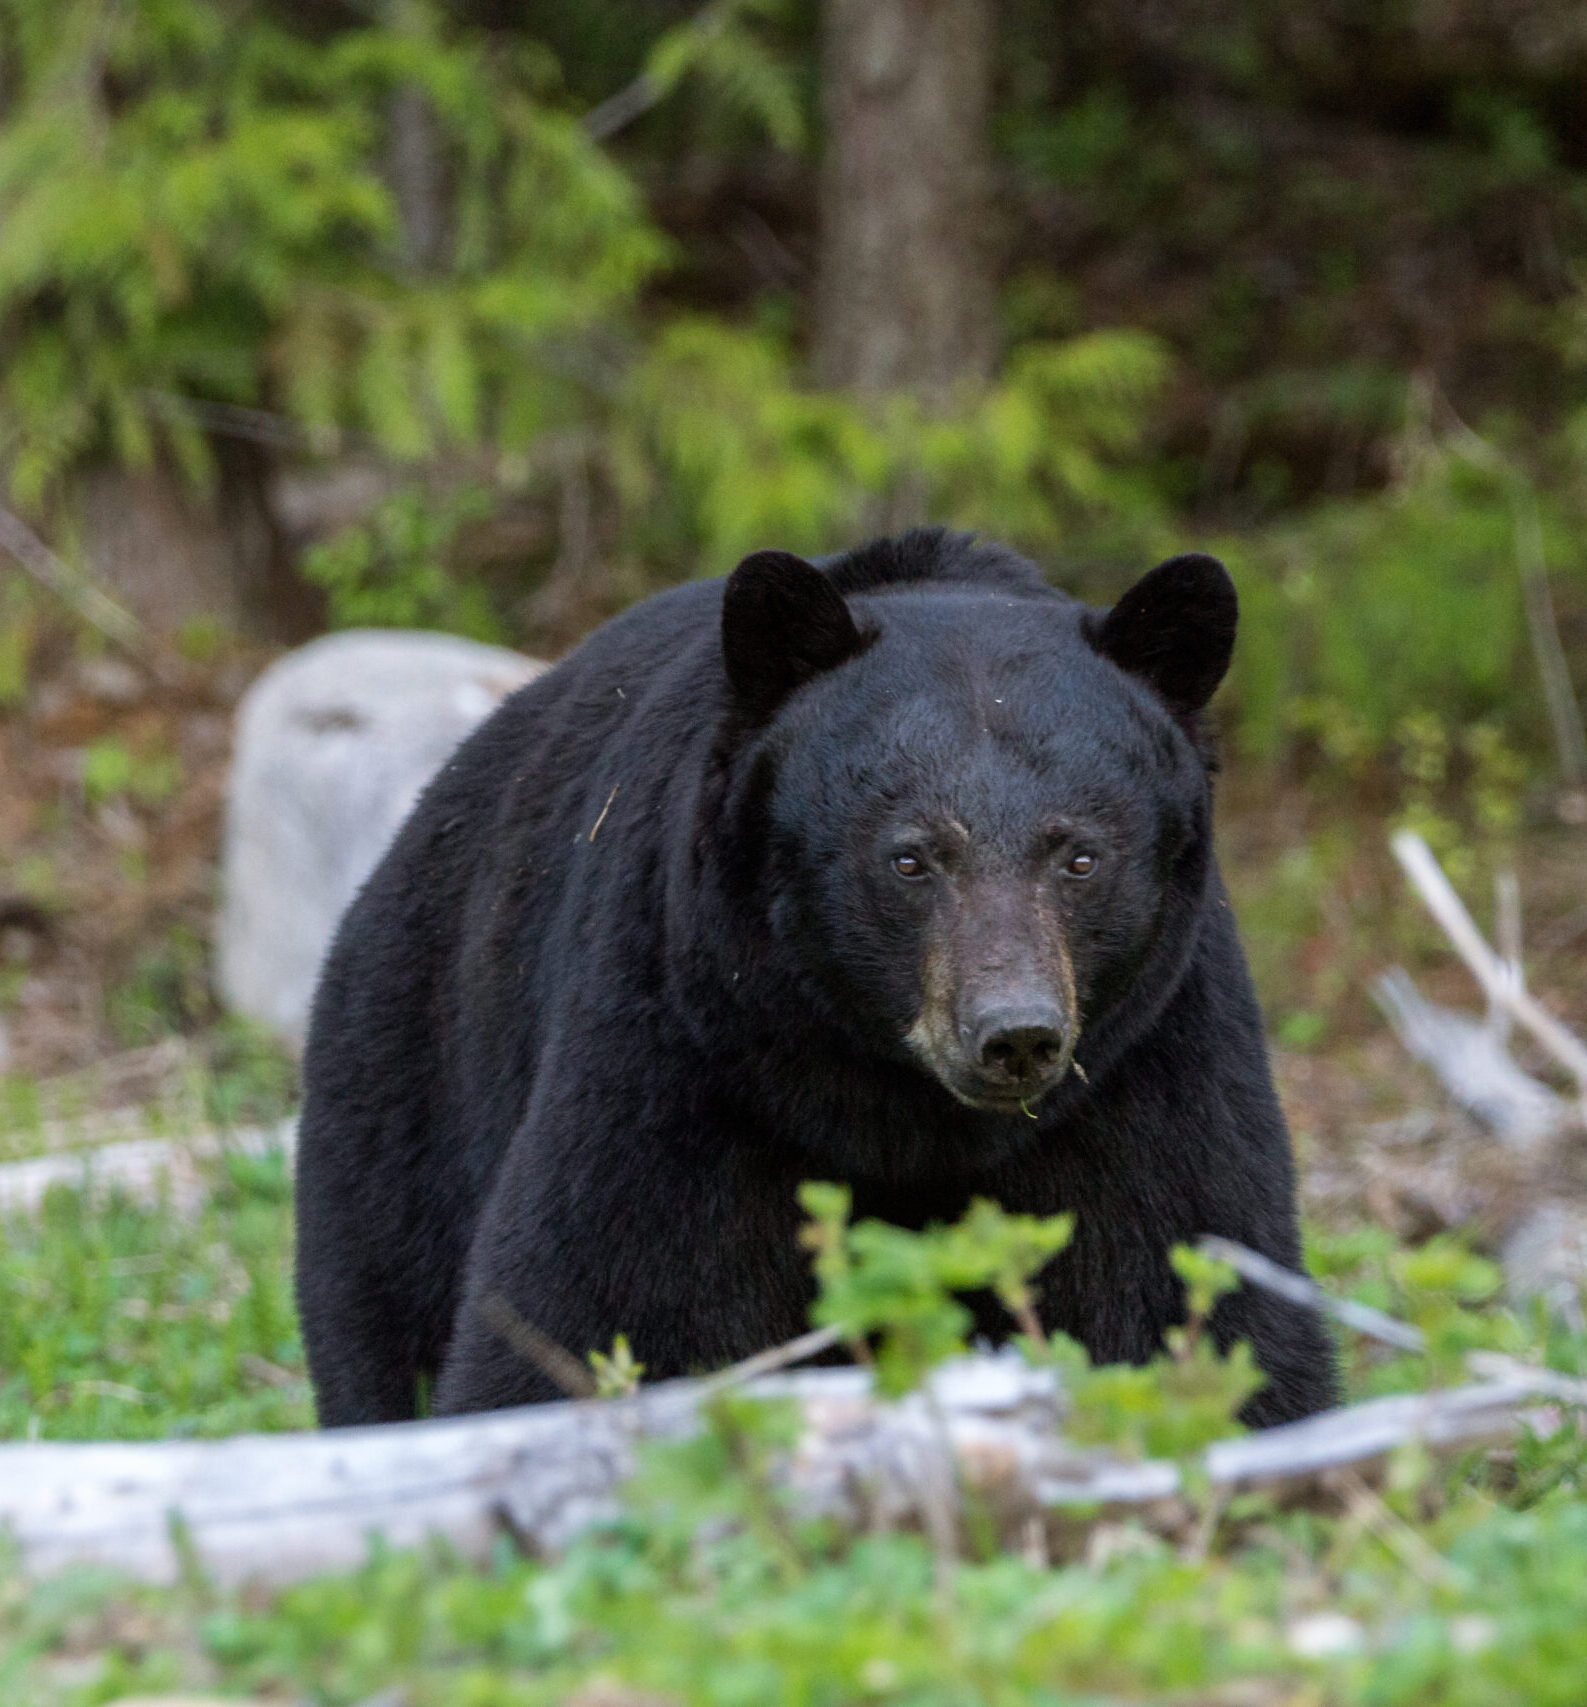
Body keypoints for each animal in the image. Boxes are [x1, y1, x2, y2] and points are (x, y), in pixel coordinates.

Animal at [294, 528, 1338, 1428]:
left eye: (1079, 856)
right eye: (910, 857)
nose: (1013, 1033)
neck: (906, 1115)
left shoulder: (1144, 1062)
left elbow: (1189, 1282)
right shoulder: (686, 1044)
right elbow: (596, 1297)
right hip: (410, 1084)